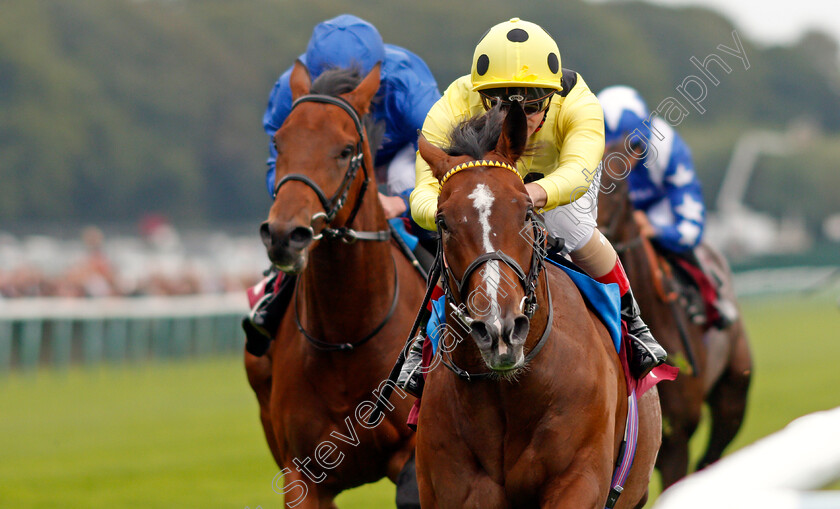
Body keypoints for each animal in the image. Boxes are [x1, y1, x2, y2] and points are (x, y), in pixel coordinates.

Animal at [244, 62, 426, 508]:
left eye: (345, 150)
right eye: (279, 141)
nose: (284, 235)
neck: (349, 336)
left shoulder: (414, 453)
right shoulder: (303, 475)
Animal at [416, 104, 660, 508]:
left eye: (526, 211)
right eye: (443, 222)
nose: (499, 330)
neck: (507, 390)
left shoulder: (579, 478)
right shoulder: (456, 487)